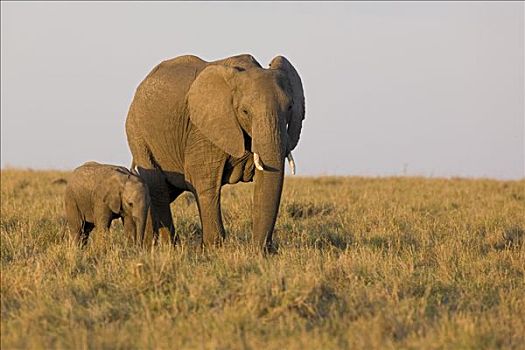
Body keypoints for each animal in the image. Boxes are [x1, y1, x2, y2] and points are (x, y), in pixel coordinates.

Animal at [126, 54, 302, 252]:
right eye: (245, 111)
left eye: (290, 107)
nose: (263, 249)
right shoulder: (202, 130)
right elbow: (203, 181)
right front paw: (213, 248)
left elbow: (264, 178)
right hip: (137, 134)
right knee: (158, 187)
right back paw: (167, 246)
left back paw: (148, 245)